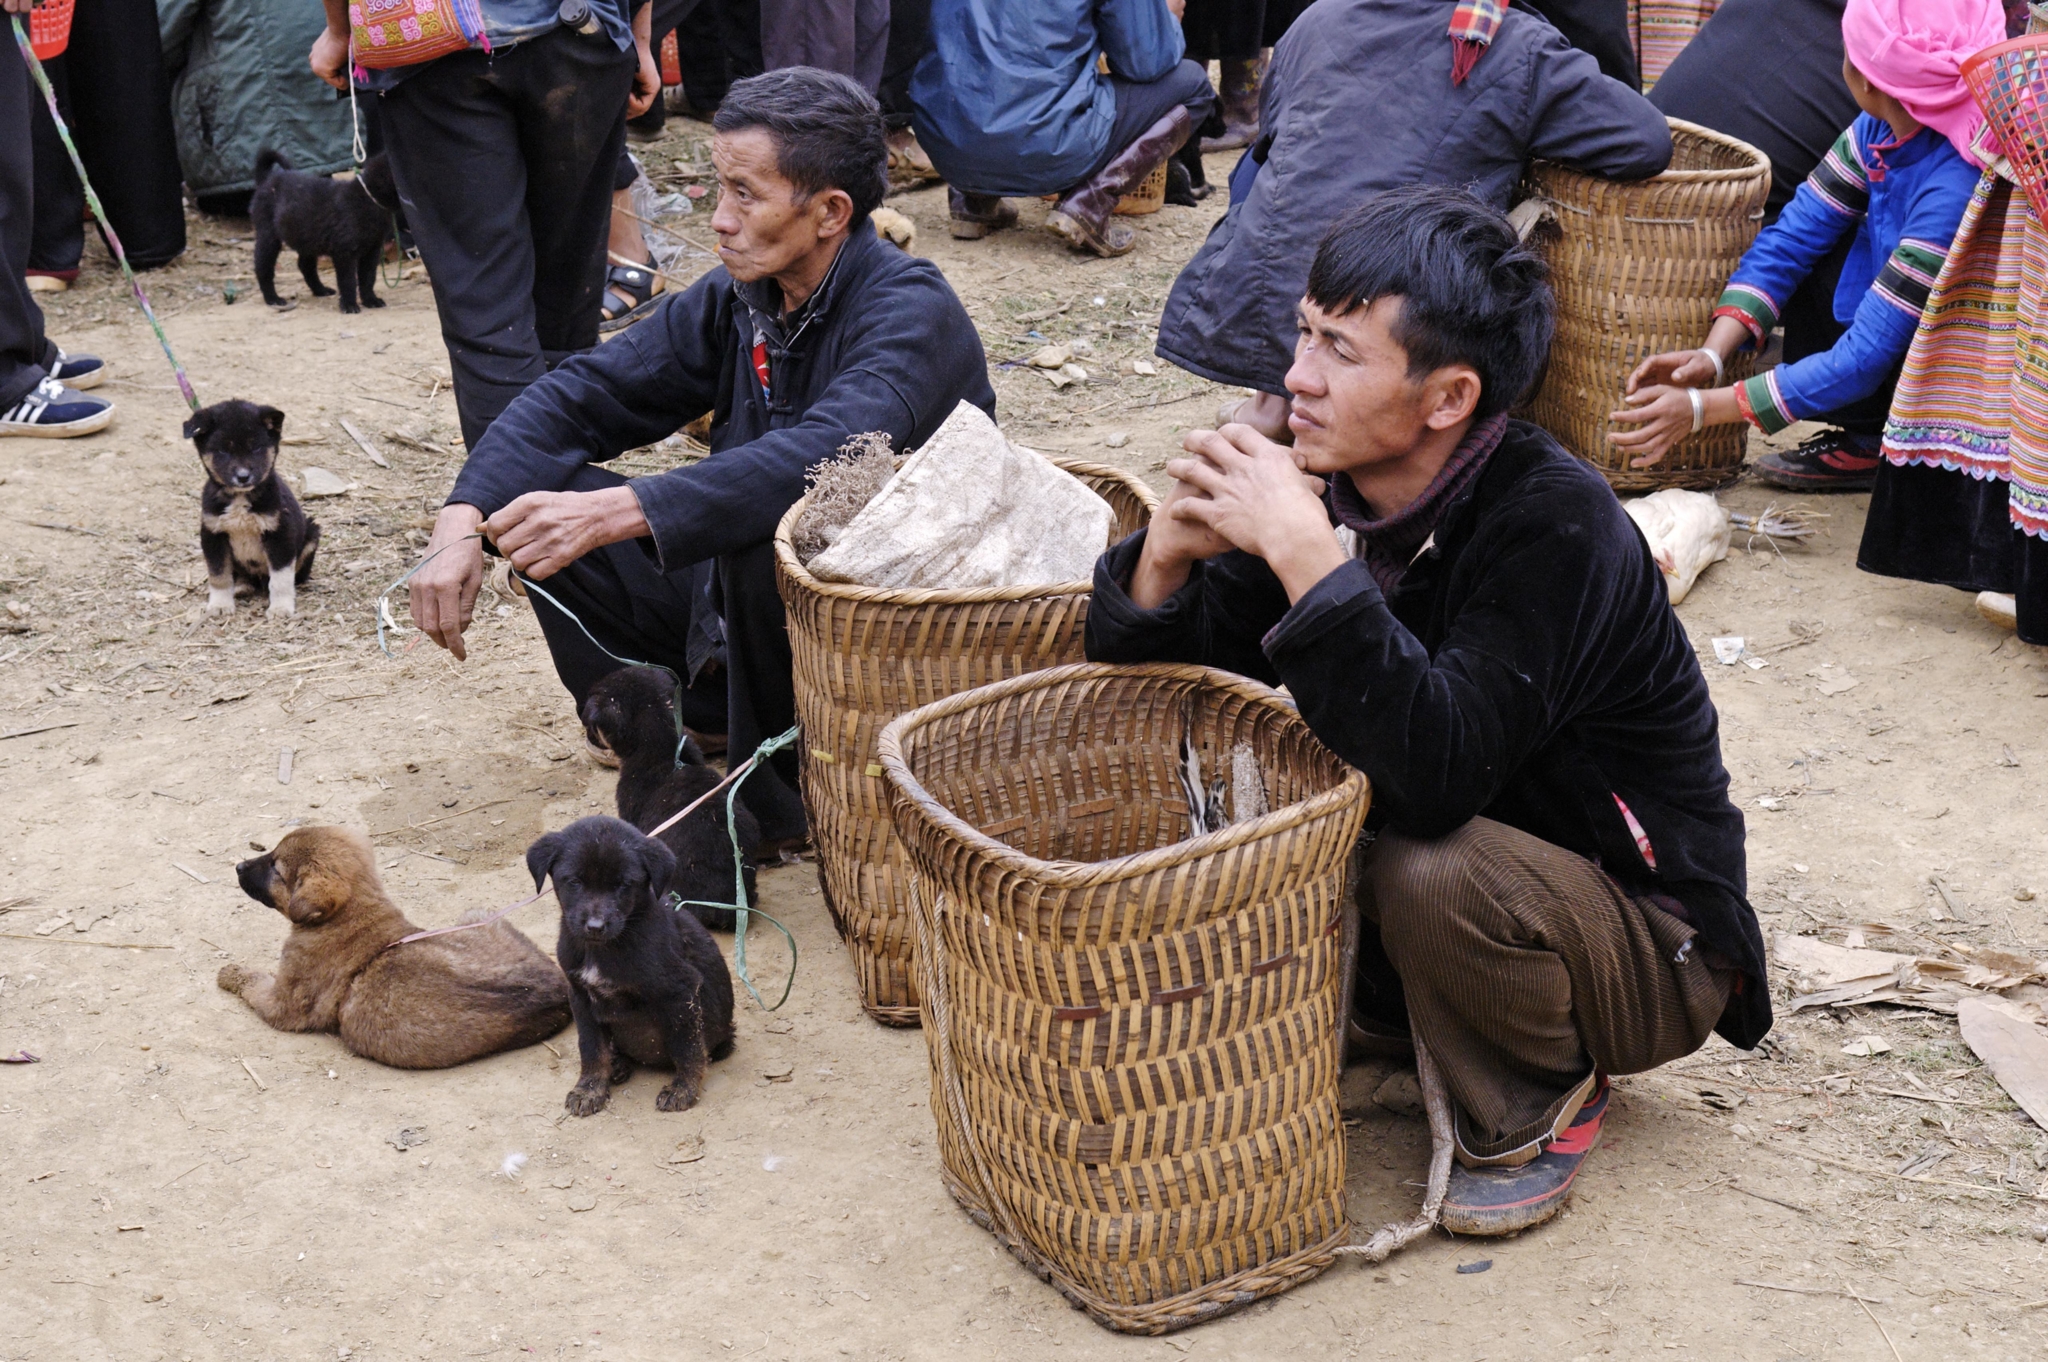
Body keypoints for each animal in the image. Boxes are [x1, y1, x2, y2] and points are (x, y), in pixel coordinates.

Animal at [189, 399, 319, 614]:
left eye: (256, 448)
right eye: (223, 451)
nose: (243, 477)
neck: (240, 498)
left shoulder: (280, 534)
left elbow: (281, 579)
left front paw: (281, 608)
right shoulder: (213, 533)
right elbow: (219, 574)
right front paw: (220, 605)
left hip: (311, 535)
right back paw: (241, 586)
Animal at [221, 823, 573, 1065]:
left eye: (276, 869)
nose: (238, 866)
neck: (350, 915)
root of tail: (559, 993)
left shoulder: (281, 1004)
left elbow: (252, 981)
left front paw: (229, 973)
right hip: (479, 915)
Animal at [251, 149, 395, 313]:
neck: (368, 199)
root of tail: (266, 181)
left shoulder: (372, 250)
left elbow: (368, 277)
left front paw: (370, 300)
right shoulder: (344, 252)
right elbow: (348, 281)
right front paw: (349, 305)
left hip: (307, 237)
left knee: (305, 265)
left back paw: (320, 290)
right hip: (268, 236)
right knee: (263, 268)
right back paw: (272, 298)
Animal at [528, 811, 737, 1114]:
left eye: (623, 885)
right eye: (574, 882)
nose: (595, 927)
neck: (604, 949)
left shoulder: (682, 990)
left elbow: (688, 1047)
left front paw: (683, 1089)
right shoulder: (580, 995)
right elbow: (591, 1048)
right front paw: (589, 1088)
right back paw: (616, 1064)